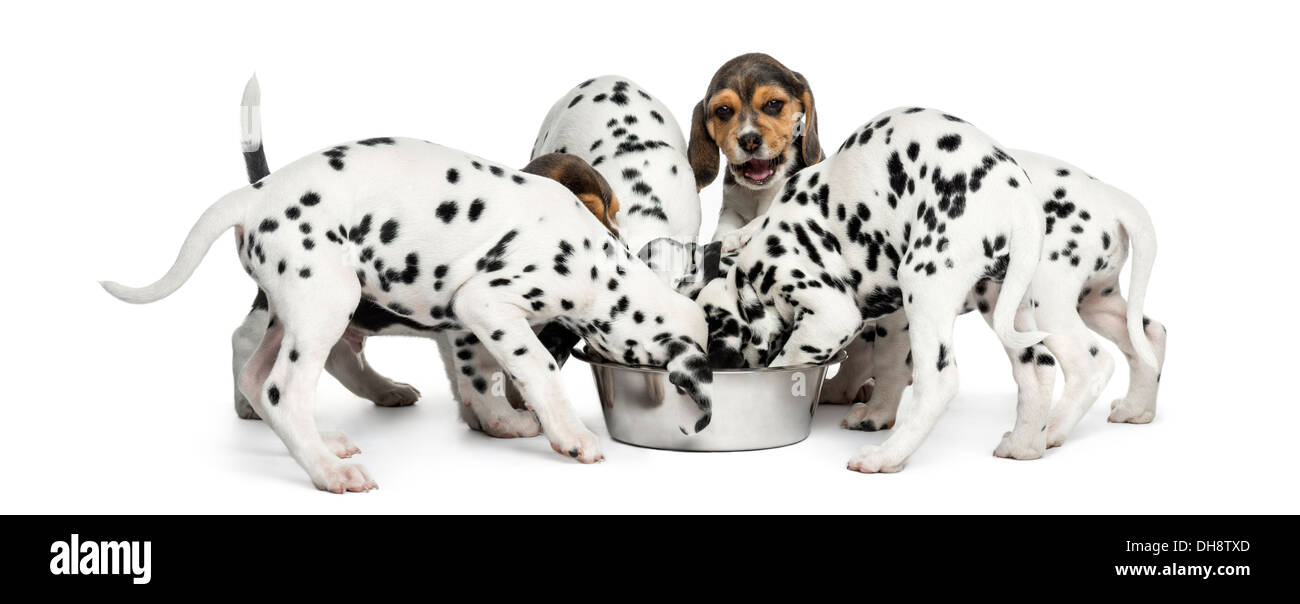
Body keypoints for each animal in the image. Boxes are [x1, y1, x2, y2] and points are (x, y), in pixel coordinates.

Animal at [102, 135, 717, 488]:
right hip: (326, 304)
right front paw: (565, 434)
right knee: (281, 390)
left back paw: (325, 442)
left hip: (295, 311)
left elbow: (483, 375)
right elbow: (534, 368)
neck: (596, 264)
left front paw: (501, 420)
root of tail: (253, 194)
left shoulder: (470, 321)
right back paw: (330, 471)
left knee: (257, 376)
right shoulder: (484, 302)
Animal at [691, 51, 821, 240]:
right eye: (723, 109)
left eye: (773, 103)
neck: (757, 191)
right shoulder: (731, 208)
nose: (749, 140)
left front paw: (736, 236)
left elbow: (763, 218)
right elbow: (722, 228)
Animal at [696, 105, 1050, 470]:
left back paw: (885, 456)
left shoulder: (830, 315)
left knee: (939, 383)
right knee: (1039, 367)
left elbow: (786, 361)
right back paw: (1024, 445)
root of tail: (1020, 199)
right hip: (1004, 304)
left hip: (924, 283)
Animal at [842, 148, 1170, 444]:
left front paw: (873, 412)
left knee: (1090, 364)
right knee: (1148, 334)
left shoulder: (898, 315)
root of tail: (1113, 198)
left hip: (1047, 306)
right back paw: (1135, 409)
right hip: (1096, 302)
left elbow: (886, 363)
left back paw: (1049, 431)